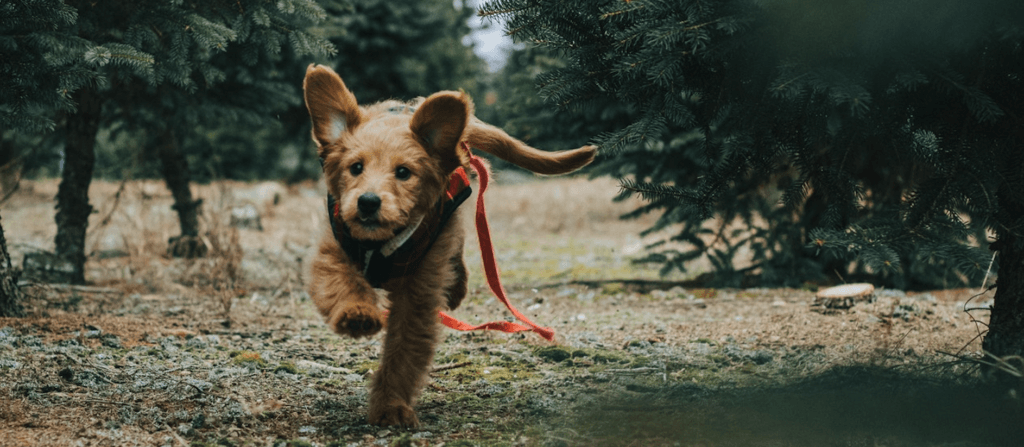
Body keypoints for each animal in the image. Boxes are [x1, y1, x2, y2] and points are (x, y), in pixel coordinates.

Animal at [299, 63, 598, 425]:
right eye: (356, 167)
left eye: (404, 173)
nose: (368, 202)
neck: (382, 242)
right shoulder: (332, 248)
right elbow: (341, 283)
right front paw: (357, 314)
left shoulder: (419, 293)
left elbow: (403, 352)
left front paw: (391, 406)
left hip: (448, 226)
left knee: (457, 250)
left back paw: (456, 288)